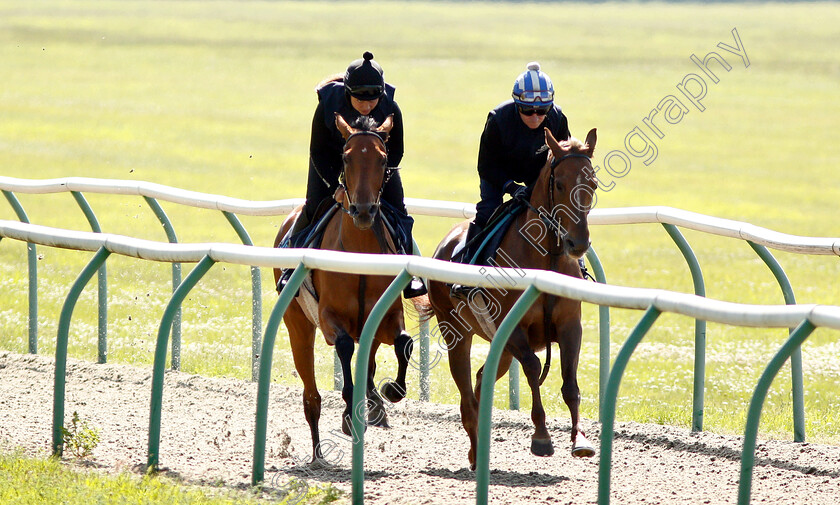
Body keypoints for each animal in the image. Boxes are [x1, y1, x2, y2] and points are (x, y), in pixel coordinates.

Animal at [274, 113, 416, 464]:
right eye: (347, 157)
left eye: (382, 159)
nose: (364, 211)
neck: (360, 255)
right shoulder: (328, 318)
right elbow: (343, 347)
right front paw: (350, 415)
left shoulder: (387, 314)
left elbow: (403, 343)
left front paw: (390, 391)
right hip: (297, 323)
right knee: (311, 393)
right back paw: (317, 453)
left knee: (372, 358)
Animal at [426, 126, 596, 468]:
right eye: (560, 184)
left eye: (593, 184)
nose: (578, 243)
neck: (547, 259)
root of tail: (444, 242)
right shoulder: (513, 327)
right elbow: (532, 367)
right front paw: (541, 436)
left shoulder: (570, 325)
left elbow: (570, 382)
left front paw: (580, 439)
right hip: (457, 334)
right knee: (466, 396)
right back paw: (476, 451)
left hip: (499, 344)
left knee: (481, 380)